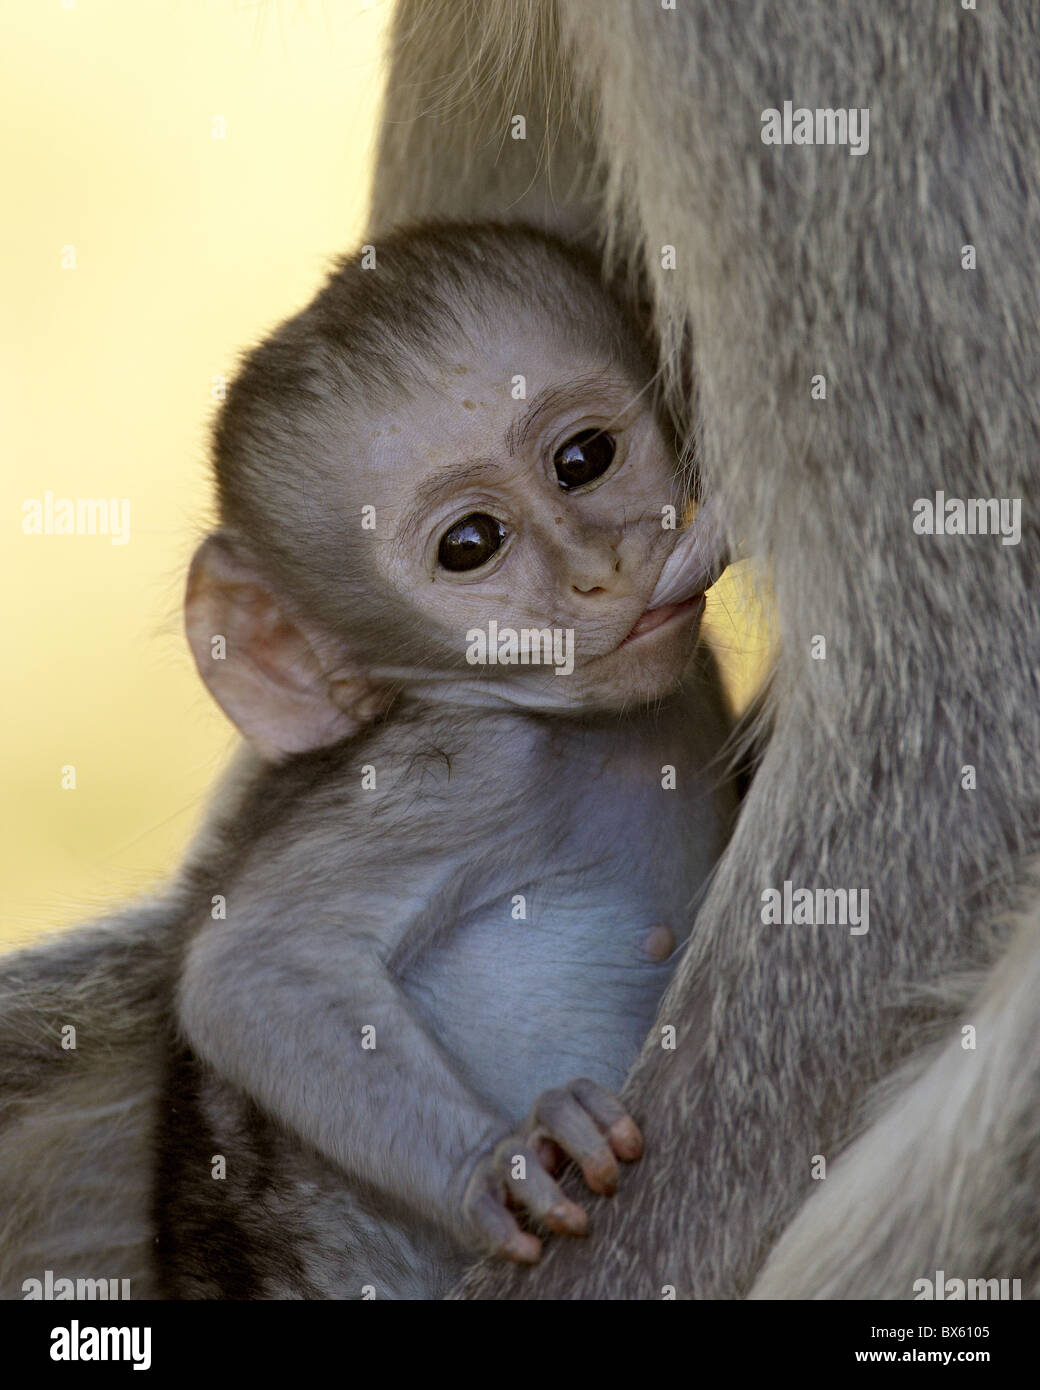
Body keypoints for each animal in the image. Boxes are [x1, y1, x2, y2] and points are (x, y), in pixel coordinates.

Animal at [160, 222, 728, 1295]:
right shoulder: (472, 765)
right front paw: (500, 1165)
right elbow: (251, 971)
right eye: (470, 544)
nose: (601, 571)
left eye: (584, 458)